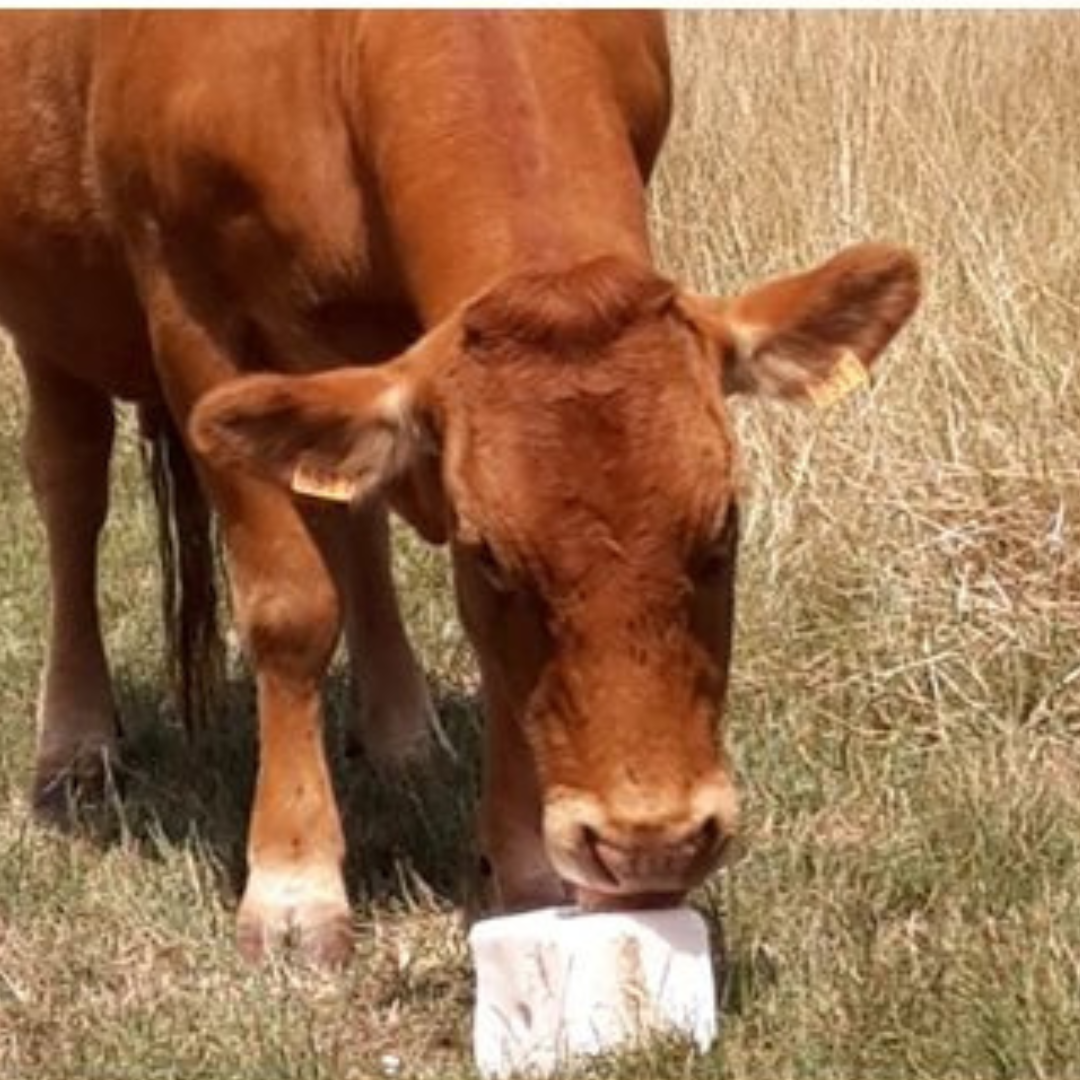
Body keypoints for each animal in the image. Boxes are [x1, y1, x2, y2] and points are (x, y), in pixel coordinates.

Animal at [0, 11, 919, 966]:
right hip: (50, 314)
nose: (650, 844)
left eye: (723, 530)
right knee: (70, 484)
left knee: (352, 523)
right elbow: (291, 609)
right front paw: (293, 883)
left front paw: (526, 867)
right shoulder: (196, 324)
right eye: (493, 557)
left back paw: (401, 731)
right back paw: (74, 747)